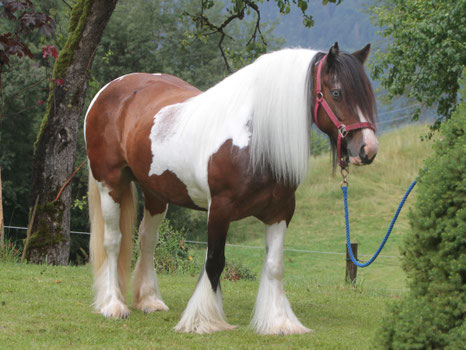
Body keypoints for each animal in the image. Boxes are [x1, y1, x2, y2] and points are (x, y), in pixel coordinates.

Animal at [85, 42, 380, 334]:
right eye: (337, 93)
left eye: (368, 94)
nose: (368, 149)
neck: (254, 141)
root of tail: (108, 90)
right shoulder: (219, 209)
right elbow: (215, 262)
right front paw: (205, 320)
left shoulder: (281, 212)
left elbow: (274, 265)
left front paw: (279, 322)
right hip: (109, 184)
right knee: (113, 241)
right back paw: (113, 305)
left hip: (156, 193)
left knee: (147, 239)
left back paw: (149, 300)